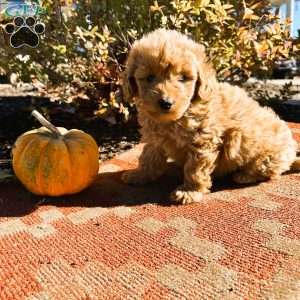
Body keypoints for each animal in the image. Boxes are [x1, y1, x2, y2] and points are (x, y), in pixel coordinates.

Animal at [120, 28, 298, 204]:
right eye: (149, 78)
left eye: (183, 78)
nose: (166, 103)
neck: (176, 118)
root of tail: (291, 154)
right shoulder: (154, 137)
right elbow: (149, 157)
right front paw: (139, 175)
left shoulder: (203, 140)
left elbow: (195, 168)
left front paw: (189, 191)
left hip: (265, 155)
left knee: (270, 171)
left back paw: (244, 176)